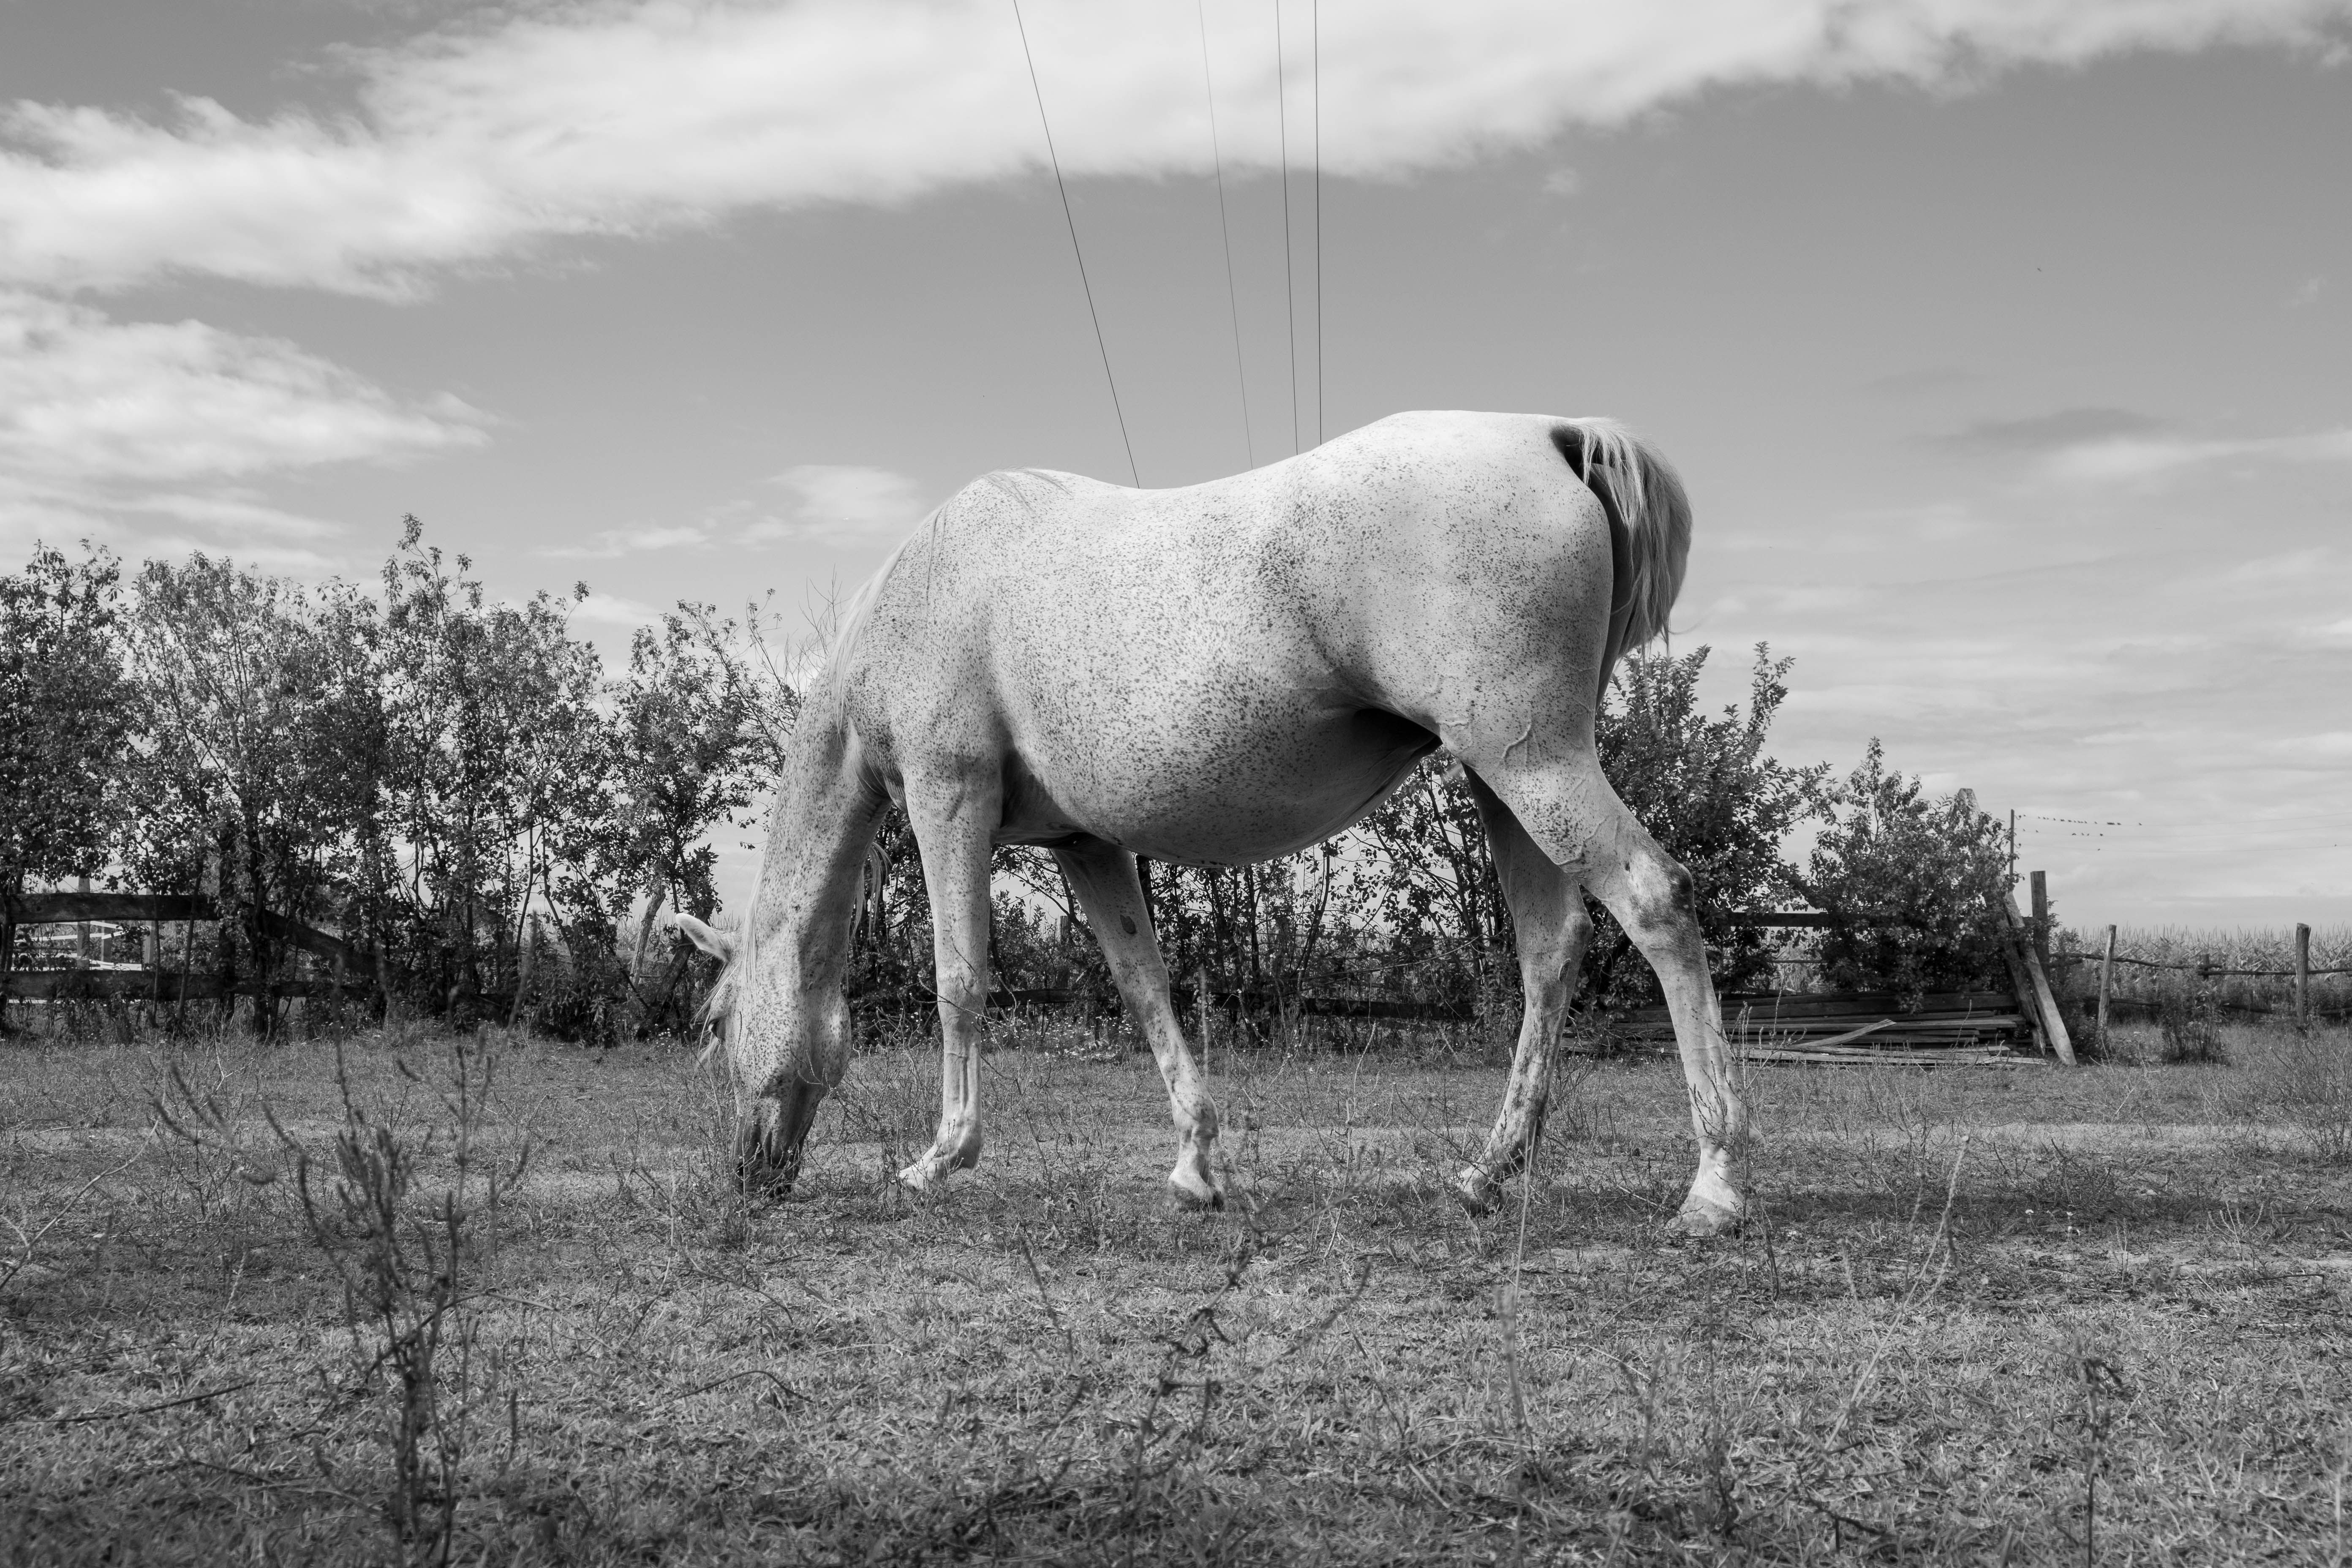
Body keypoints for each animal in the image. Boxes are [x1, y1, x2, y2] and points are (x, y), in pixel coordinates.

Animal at [673, 409, 1748, 1237]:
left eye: (718, 1021)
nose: (748, 1174)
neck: (923, 587)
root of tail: (1551, 436)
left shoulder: (950, 799)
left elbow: (960, 982)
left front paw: (940, 1158)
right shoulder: (1086, 845)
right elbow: (1144, 986)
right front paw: (1193, 1168)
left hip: (1535, 766)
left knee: (1657, 901)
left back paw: (1714, 1187)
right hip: (1506, 774)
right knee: (1549, 948)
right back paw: (1489, 1171)